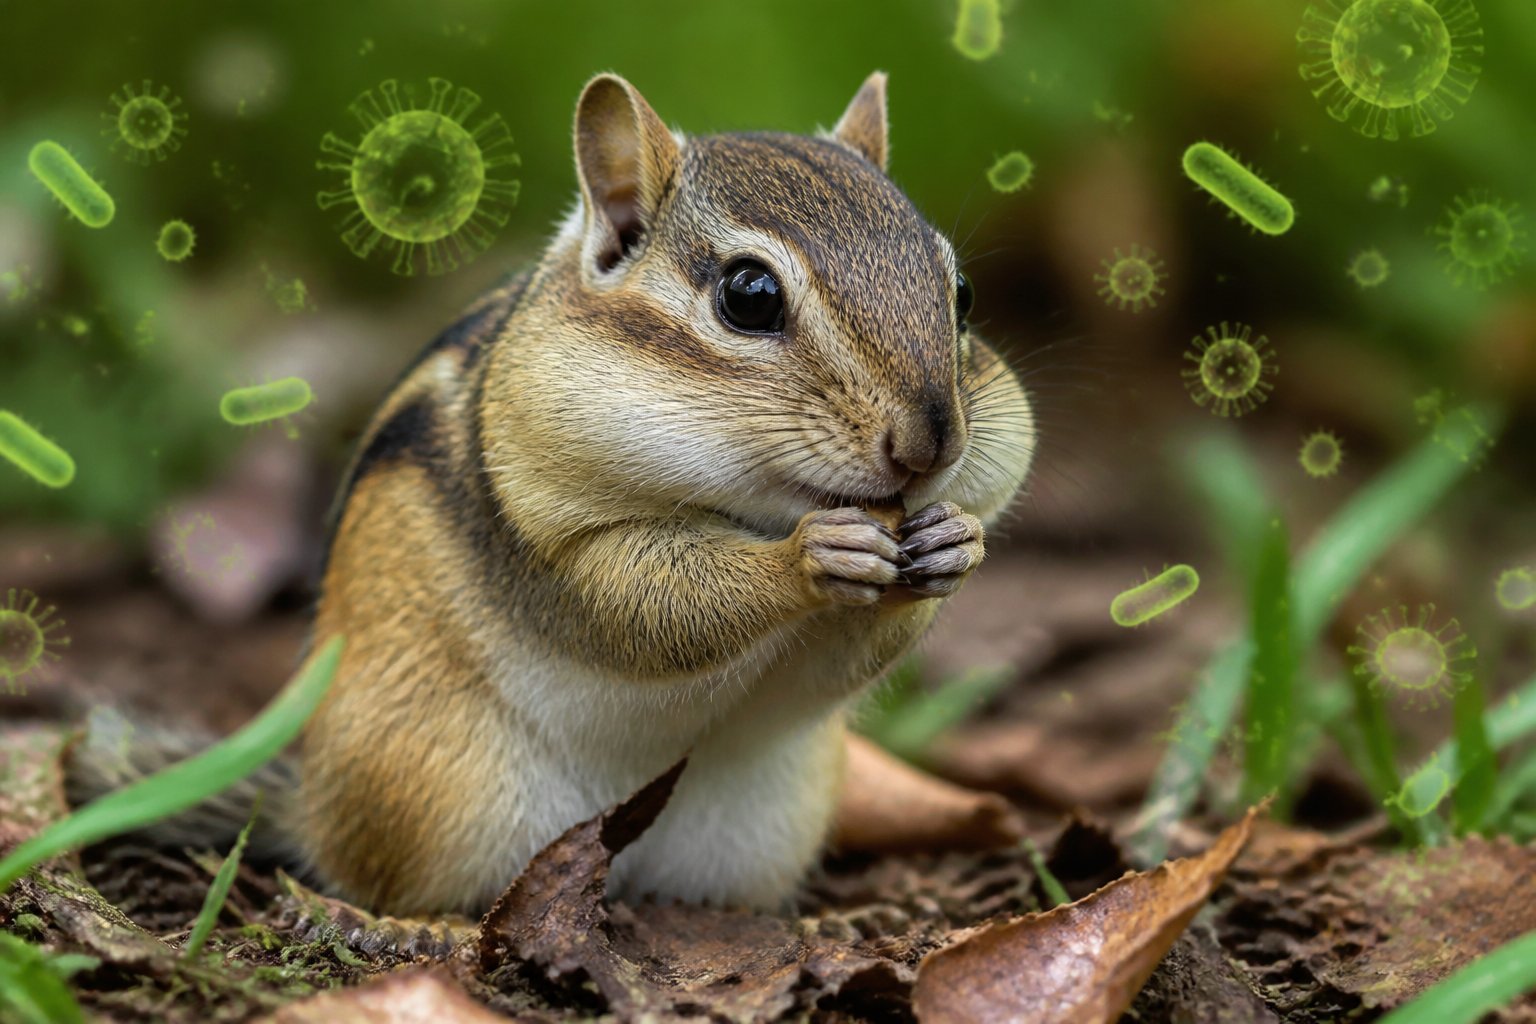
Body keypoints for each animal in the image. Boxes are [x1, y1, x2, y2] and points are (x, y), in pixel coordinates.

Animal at [68, 71, 1036, 917]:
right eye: (750, 295)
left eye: (961, 293)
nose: (931, 444)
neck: (755, 507)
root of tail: (310, 799)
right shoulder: (551, 543)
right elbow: (648, 607)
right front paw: (811, 555)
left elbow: (852, 655)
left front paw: (956, 540)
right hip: (442, 792)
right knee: (386, 884)